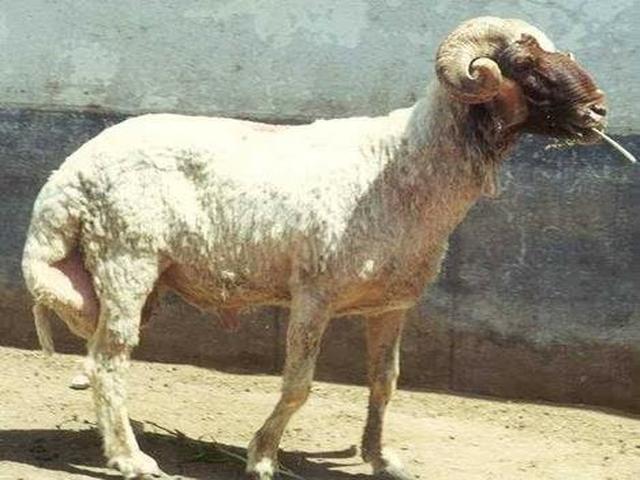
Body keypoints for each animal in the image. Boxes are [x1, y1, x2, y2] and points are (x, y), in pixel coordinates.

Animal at [22, 16, 608, 480]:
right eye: (526, 65)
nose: (600, 112)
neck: (403, 163)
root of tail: (68, 174)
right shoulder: (314, 294)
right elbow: (298, 385)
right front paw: (261, 457)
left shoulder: (391, 304)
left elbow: (385, 382)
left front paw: (380, 458)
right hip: (126, 257)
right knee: (109, 360)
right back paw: (130, 459)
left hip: (135, 274)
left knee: (101, 355)